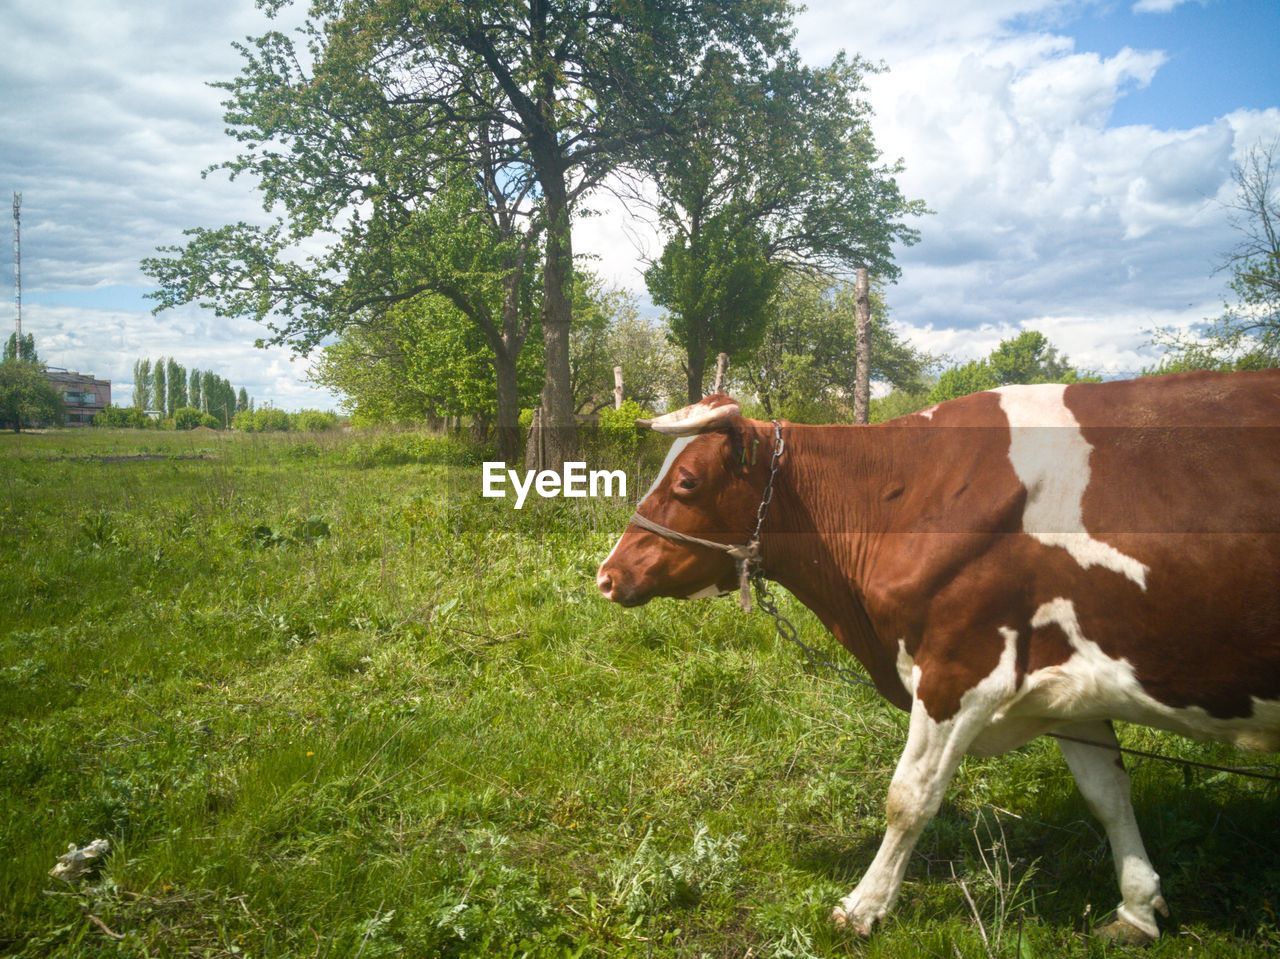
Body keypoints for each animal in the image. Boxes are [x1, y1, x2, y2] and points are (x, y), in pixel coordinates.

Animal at [599, 371, 1280, 937]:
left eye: (687, 482)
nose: (607, 575)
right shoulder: (1073, 685)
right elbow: (1108, 794)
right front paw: (1137, 909)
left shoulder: (962, 669)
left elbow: (909, 798)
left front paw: (862, 908)